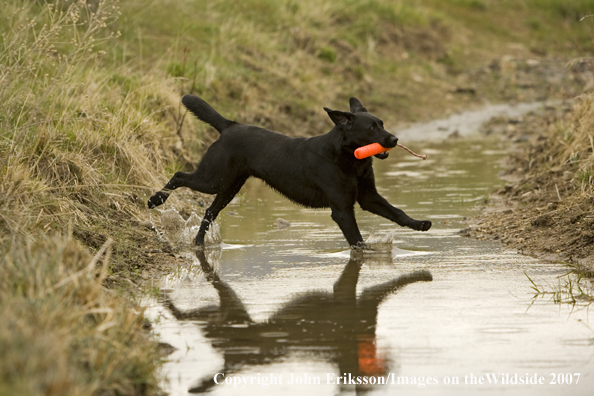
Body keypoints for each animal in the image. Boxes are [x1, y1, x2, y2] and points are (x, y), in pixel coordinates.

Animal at [146, 95, 428, 248]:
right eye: (371, 128)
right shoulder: (342, 209)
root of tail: (229, 126)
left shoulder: (368, 197)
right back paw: (154, 200)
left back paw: (198, 244)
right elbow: (356, 239)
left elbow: (397, 212)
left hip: (230, 186)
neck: (348, 159)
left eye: (382, 123)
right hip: (213, 179)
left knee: (208, 212)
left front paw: (419, 224)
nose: (394, 139)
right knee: (179, 176)